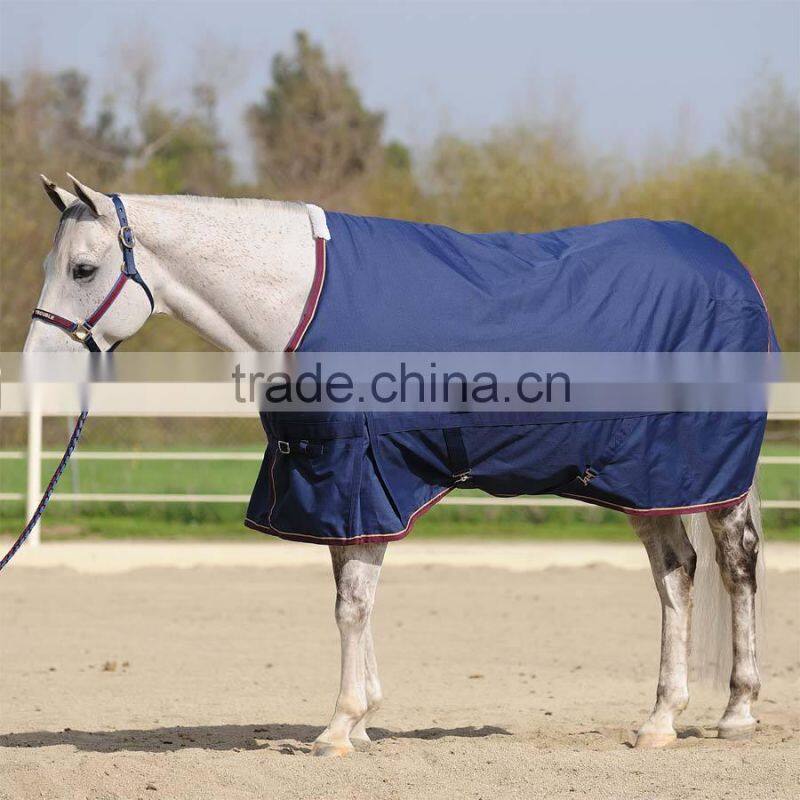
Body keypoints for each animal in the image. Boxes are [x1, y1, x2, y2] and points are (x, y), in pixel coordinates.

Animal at [24, 173, 768, 756]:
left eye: (83, 269)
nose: (35, 369)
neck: (300, 303)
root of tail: (733, 271)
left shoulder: (361, 472)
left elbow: (351, 602)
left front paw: (339, 727)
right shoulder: (332, 480)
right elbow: (352, 594)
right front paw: (363, 719)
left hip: (704, 471)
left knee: (735, 565)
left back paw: (736, 711)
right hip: (646, 480)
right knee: (676, 576)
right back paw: (661, 719)